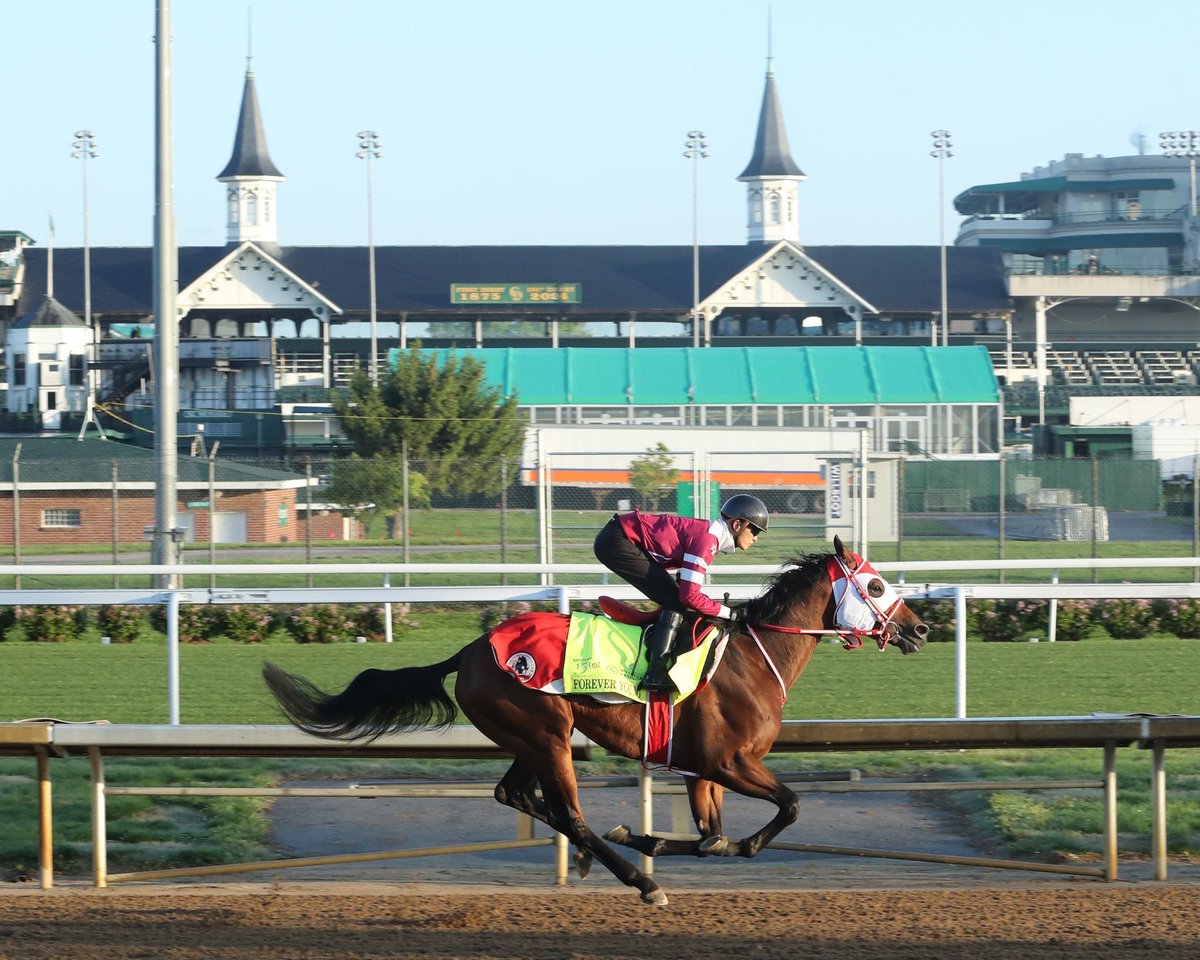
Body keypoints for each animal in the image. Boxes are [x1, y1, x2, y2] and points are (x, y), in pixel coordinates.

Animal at [262, 535, 926, 902]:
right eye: (875, 584)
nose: (919, 630)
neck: (752, 657)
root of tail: (472, 651)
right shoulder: (727, 761)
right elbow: (786, 809)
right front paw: (647, 843)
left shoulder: (702, 770)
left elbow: (712, 839)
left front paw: (643, 834)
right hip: (547, 734)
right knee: (570, 814)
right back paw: (641, 883)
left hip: (529, 739)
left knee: (516, 795)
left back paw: (609, 859)